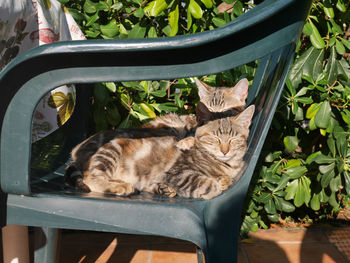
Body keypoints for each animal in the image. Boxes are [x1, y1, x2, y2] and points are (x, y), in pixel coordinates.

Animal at [81, 105, 254, 200]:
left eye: (234, 138)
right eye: (215, 138)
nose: (225, 151)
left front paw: (223, 180)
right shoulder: (177, 173)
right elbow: (207, 185)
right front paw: (216, 185)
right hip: (110, 153)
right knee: (91, 178)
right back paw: (121, 187)